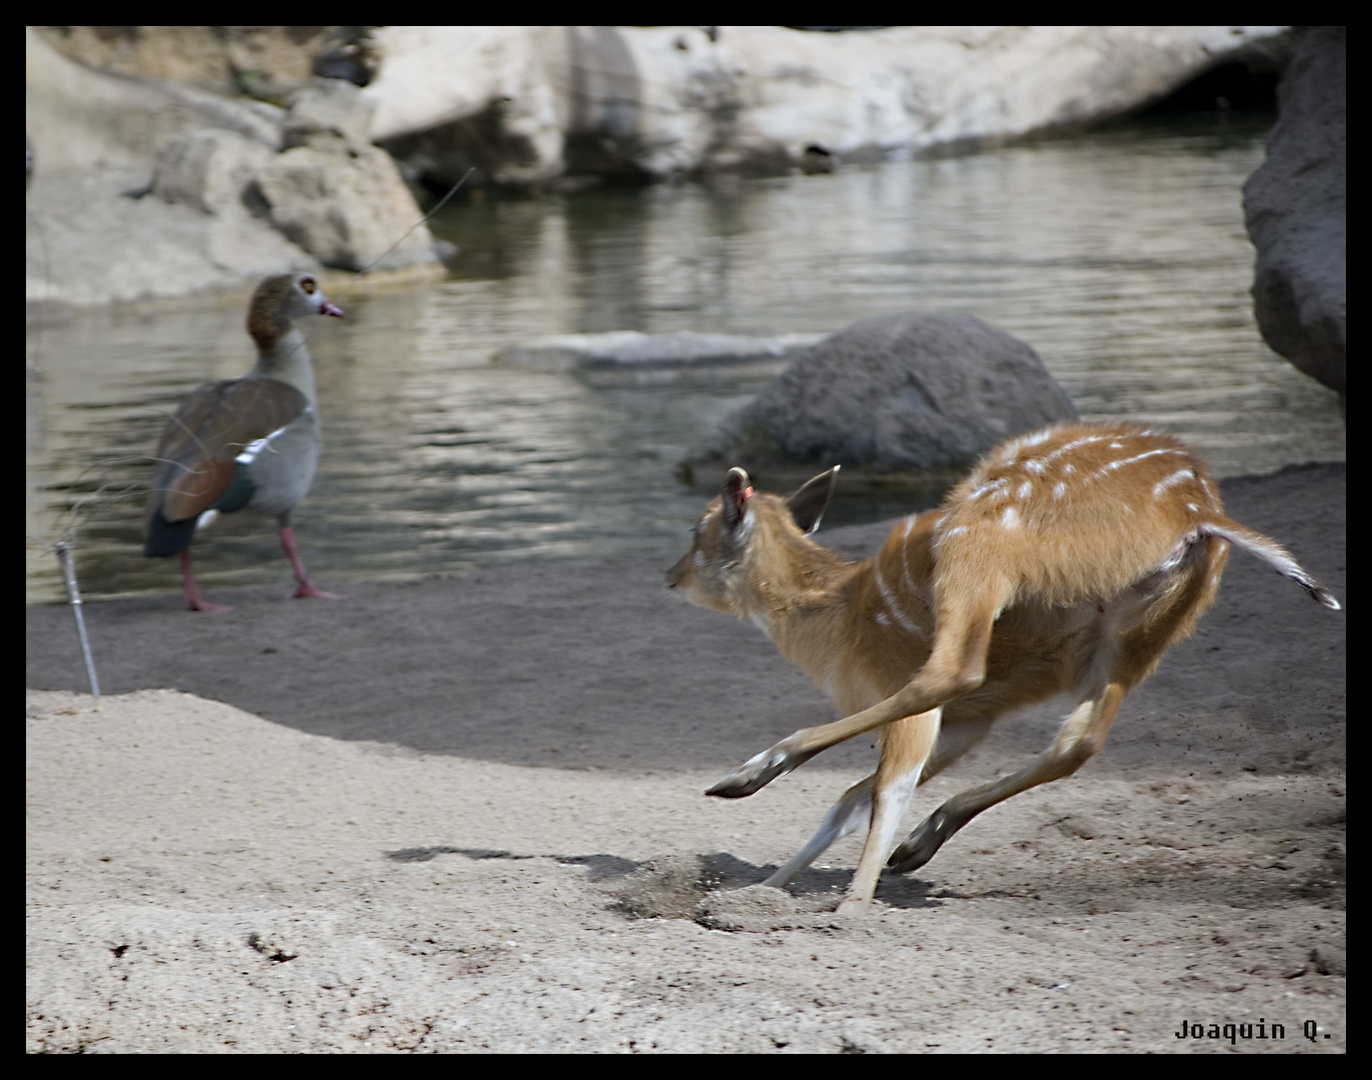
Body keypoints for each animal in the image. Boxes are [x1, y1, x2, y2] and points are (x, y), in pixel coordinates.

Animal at [664, 422, 1339, 911]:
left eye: (697, 531)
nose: (669, 575)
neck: (837, 621)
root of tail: (1200, 513)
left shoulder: (899, 684)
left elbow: (882, 783)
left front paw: (847, 903)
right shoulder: (972, 722)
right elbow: (852, 797)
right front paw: (767, 888)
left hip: (982, 544)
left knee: (952, 670)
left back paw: (756, 777)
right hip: (1145, 630)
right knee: (1079, 739)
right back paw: (922, 841)